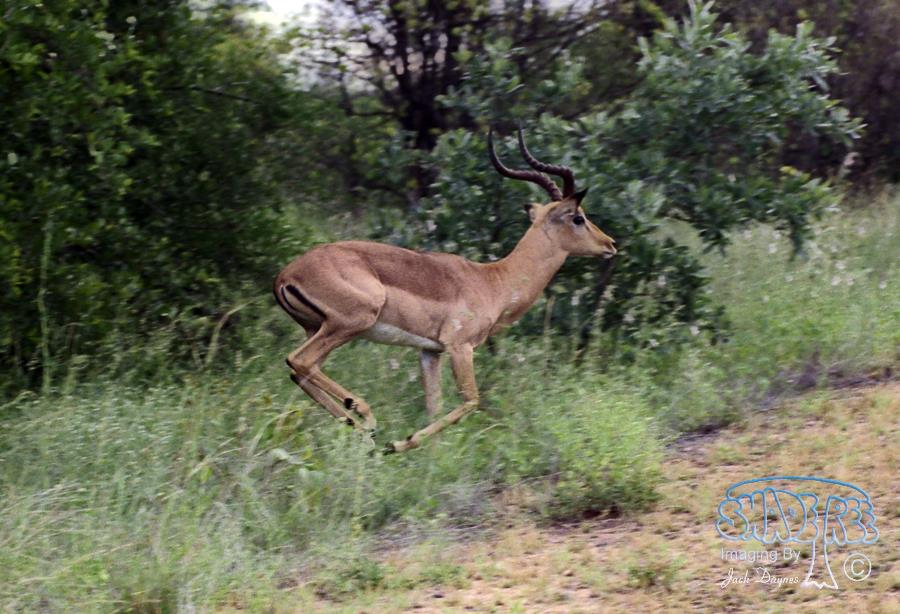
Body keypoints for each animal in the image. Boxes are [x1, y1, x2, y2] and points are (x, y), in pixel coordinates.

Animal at [273, 128, 617, 453]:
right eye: (578, 217)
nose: (610, 244)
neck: (492, 281)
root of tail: (285, 275)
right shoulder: (460, 347)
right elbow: (471, 400)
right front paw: (398, 445)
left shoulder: (430, 351)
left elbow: (434, 406)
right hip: (351, 323)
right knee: (299, 362)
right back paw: (367, 420)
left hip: (320, 329)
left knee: (299, 371)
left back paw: (362, 432)